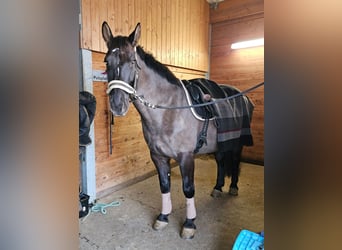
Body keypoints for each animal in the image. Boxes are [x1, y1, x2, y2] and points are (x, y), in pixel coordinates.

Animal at [100, 22, 255, 239]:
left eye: (132, 61)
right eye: (107, 61)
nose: (117, 105)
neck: (169, 110)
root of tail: (243, 96)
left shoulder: (186, 157)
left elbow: (188, 188)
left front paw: (189, 224)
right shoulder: (158, 156)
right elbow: (164, 186)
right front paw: (163, 217)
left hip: (237, 143)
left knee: (235, 161)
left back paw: (233, 187)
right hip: (219, 145)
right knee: (221, 162)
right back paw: (217, 188)